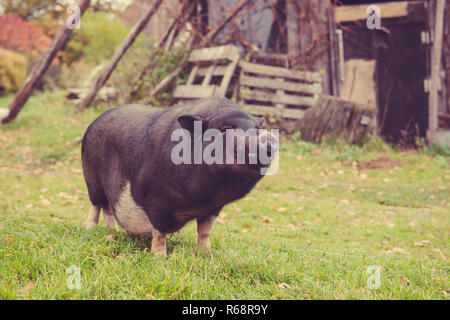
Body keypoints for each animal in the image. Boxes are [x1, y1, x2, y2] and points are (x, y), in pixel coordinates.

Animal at [81, 97, 278, 258]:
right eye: (225, 129)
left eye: (257, 129)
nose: (269, 138)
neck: (202, 199)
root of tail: (95, 121)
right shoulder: (157, 200)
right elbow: (159, 232)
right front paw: (160, 258)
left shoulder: (213, 208)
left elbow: (205, 231)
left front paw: (206, 253)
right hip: (91, 177)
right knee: (96, 205)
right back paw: (90, 229)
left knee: (108, 208)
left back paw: (111, 230)